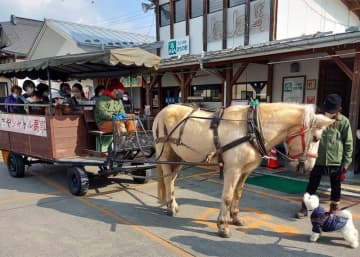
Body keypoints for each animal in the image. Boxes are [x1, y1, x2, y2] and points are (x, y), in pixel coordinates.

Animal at [151, 101, 332, 236]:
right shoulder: (233, 170)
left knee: (171, 180)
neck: (252, 129)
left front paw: (236, 218)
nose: (309, 166)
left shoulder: (245, 170)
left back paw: (172, 205)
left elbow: (238, 194)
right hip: (165, 154)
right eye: (316, 138)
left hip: (177, 157)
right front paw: (223, 226)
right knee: (167, 179)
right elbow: (228, 197)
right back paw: (171, 207)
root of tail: (162, 111)